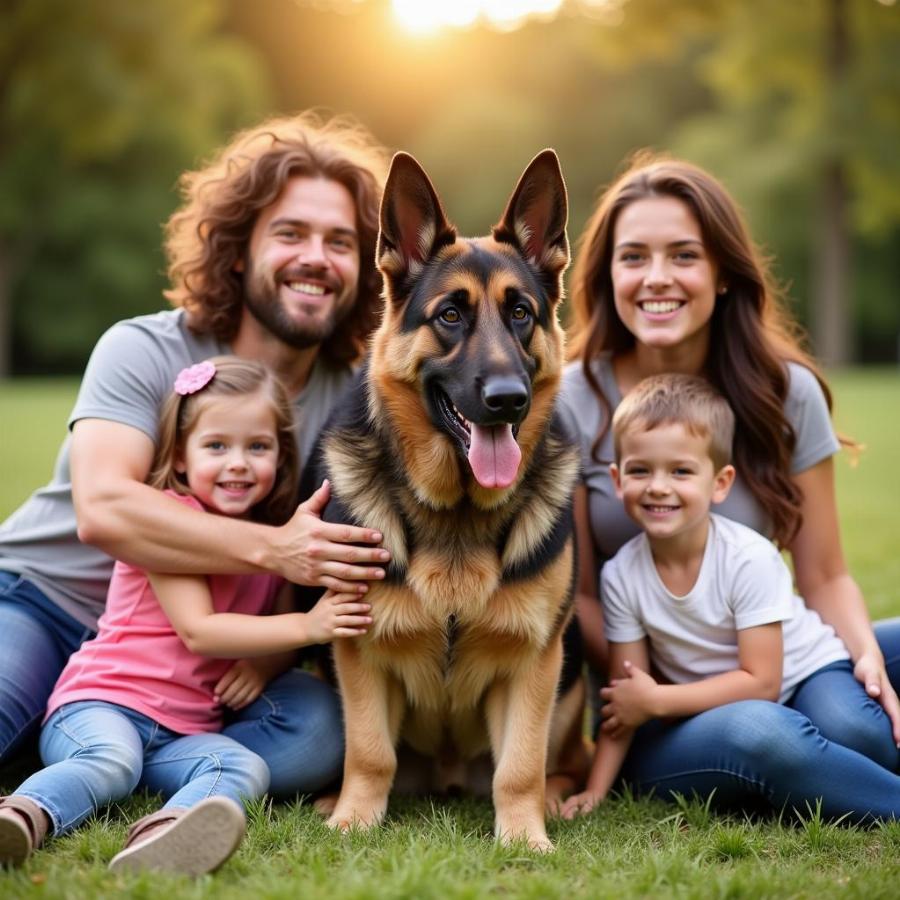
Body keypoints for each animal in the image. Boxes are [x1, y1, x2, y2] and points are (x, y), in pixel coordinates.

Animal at [320, 149, 580, 852]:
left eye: (521, 313)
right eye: (450, 316)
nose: (507, 400)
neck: (457, 514)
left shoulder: (535, 662)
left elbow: (521, 765)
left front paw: (524, 836)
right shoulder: (358, 652)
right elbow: (369, 752)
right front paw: (354, 820)